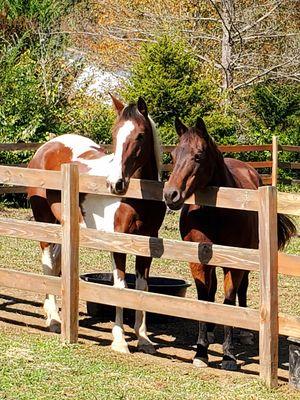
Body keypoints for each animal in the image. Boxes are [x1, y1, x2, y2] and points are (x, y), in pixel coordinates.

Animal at [27, 97, 166, 354]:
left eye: (140, 135)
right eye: (114, 134)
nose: (115, 184)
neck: (137, 197)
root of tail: (47, 146)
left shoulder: (145, 245)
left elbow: (142, 288)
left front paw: (143, 339)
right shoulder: (117, 244)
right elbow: (119, 287)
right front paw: (120, 341)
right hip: (44, 221)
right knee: (48, 265)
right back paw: (54, 320)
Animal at [163, 117, 296, 370]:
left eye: (198, 155)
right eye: (173, 155)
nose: (170, 194)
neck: (216, 213)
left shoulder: (233, 263)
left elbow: (229, 298)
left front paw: (228, 355)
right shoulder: (198, 262)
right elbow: (204, 298)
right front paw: (201, 352)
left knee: (241, 290)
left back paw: (244, 333)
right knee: (212, 290)